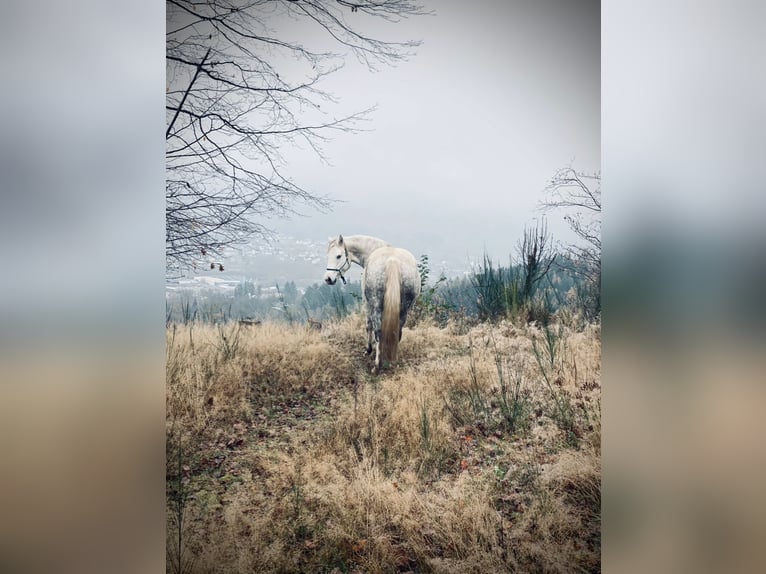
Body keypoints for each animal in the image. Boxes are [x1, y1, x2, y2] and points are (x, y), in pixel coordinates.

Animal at [322, 236, 420, 376]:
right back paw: (393, 361)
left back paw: (377, 366)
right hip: (404, 309)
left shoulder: (367, 304)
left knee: (378, 331)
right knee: (398, 331)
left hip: (376, 305)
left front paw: (368, 349)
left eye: (338, 256)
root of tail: (392, 261)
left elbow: (369, 325)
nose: (328, 279)